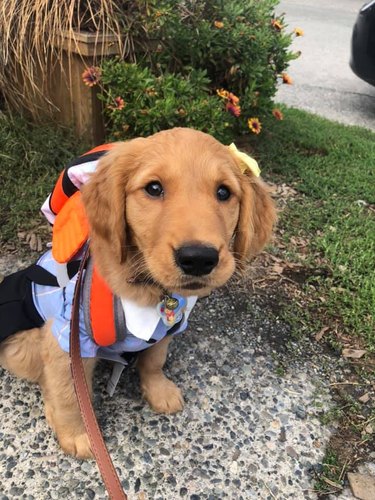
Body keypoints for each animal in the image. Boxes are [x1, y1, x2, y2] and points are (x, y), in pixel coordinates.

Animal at [0, 128, 276, 458]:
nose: (198, 258)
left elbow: (154, 359)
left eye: (224, 193)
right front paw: (77, 433)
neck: (147, 289)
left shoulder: (167, 328)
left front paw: (158, 390)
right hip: (24, 346)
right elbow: (69, 393)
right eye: (154, 188)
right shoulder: (67, 338)